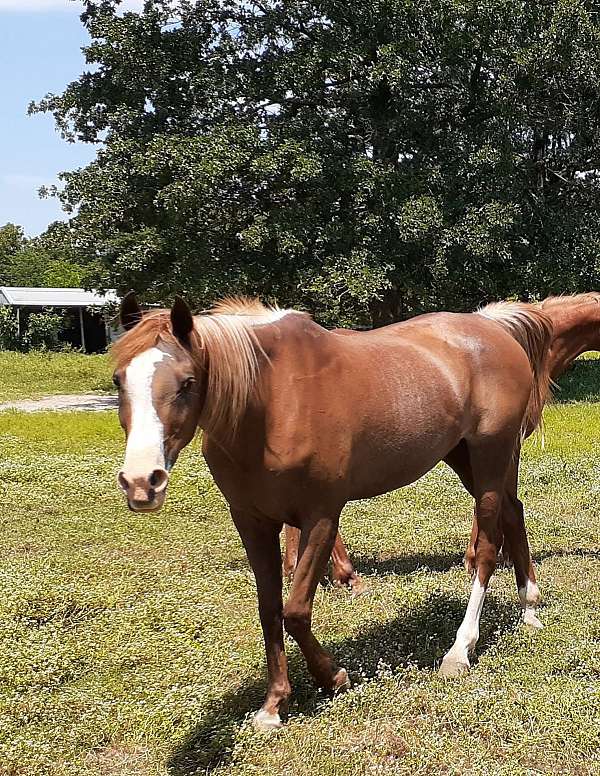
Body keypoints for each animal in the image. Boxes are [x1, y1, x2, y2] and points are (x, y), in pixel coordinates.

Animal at [113, 294, 552, 732]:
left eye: (188, 382)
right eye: (119, 380)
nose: (141, 481)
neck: (272, 401)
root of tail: (493, 329)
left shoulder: (321, 517)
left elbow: (295, 611)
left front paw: (332, 676)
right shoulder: (252, 522)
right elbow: (269, 610)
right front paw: (273, 704)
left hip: (491, 454)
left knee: (488, 547)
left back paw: (460, 650)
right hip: (465, 457)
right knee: (514, 513)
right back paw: (529, 607)